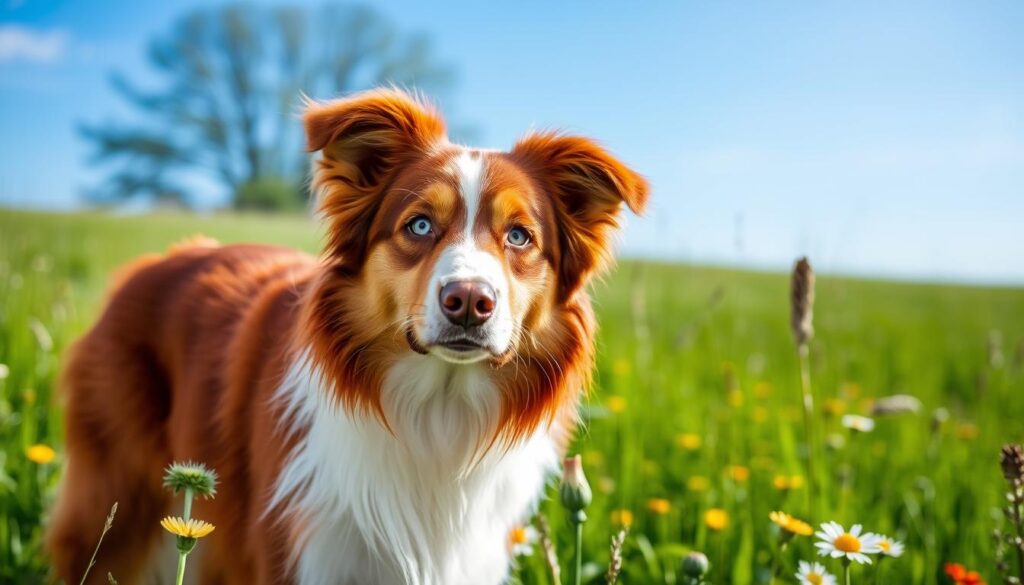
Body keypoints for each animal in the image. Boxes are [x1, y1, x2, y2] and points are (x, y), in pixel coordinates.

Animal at [48, 88, 647, 585]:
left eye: (520, 236)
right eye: (419, 225)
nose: (469, 302)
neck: (439, 416)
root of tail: (155, 261)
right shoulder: (300, 551)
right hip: (118, 505)